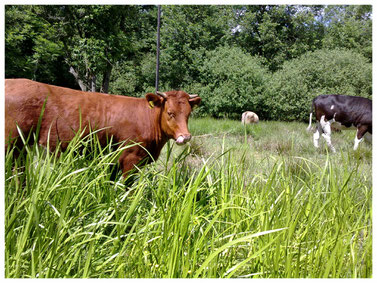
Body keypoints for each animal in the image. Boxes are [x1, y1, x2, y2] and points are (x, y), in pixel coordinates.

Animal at [4, 80, 201, 176]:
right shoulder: (130, 159)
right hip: (12, 147)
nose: (186, 136)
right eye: (170, 112)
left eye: (188, 114)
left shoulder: (113, 161)